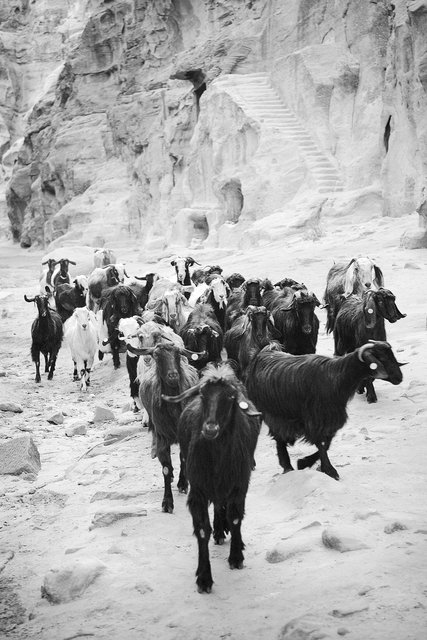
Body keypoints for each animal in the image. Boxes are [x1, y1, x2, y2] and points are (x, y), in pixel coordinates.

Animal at [126, 342, 201, 512]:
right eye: (157, 356)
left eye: (178, 354)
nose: (173, 375)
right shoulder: (162, 436)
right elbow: (166, 468)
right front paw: (167, 502)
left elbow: (183, 458)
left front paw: (183, 484)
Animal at [162, 362, 260, 592]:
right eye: (203, 395)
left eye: (231, 397)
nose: (210, 428)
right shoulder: (198, 490)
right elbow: (202, 530)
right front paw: (204, 578)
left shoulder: (239, 485)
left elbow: (235, 518)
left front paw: (236, 557)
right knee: (217, 504)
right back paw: (219, 532)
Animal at [247, 340, 404, 480]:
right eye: (382, 358)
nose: (399, 377)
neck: (337, 379)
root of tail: (263, 353)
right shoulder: (315, 419)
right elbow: (321, 444)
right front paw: (329, 470)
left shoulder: (330, 420)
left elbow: (326, 443)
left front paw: (305, 463)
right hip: (266, 412)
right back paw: (276, 465)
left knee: (279, 437)